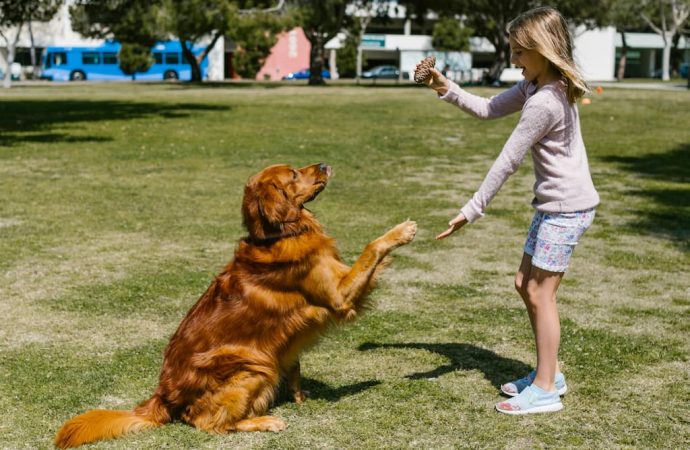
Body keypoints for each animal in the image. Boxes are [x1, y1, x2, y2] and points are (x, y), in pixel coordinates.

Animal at [55, 162, 414, 446]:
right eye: (293, 174)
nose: (325, 163)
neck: (279, 234)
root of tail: (162, 398)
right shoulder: (338, 296)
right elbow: (371, 248)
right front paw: (399, 231)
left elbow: (295, 364)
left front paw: (299, 395)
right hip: (251, 365)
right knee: (206, 422)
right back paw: (265, 421)